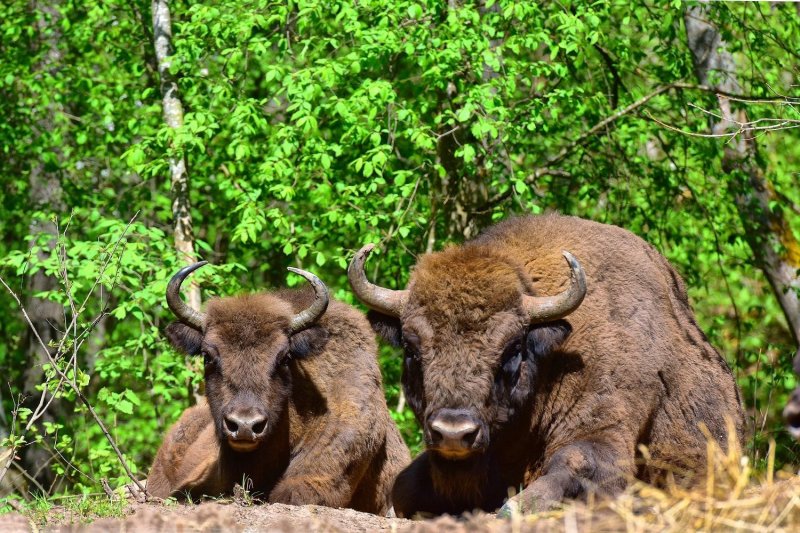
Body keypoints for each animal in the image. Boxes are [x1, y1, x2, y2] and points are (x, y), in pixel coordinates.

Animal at [348, 212, 744, 516]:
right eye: (411, 348)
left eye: (512, 349)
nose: (454, 433)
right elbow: (403, 489)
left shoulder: (604, 431)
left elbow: (575, 465)